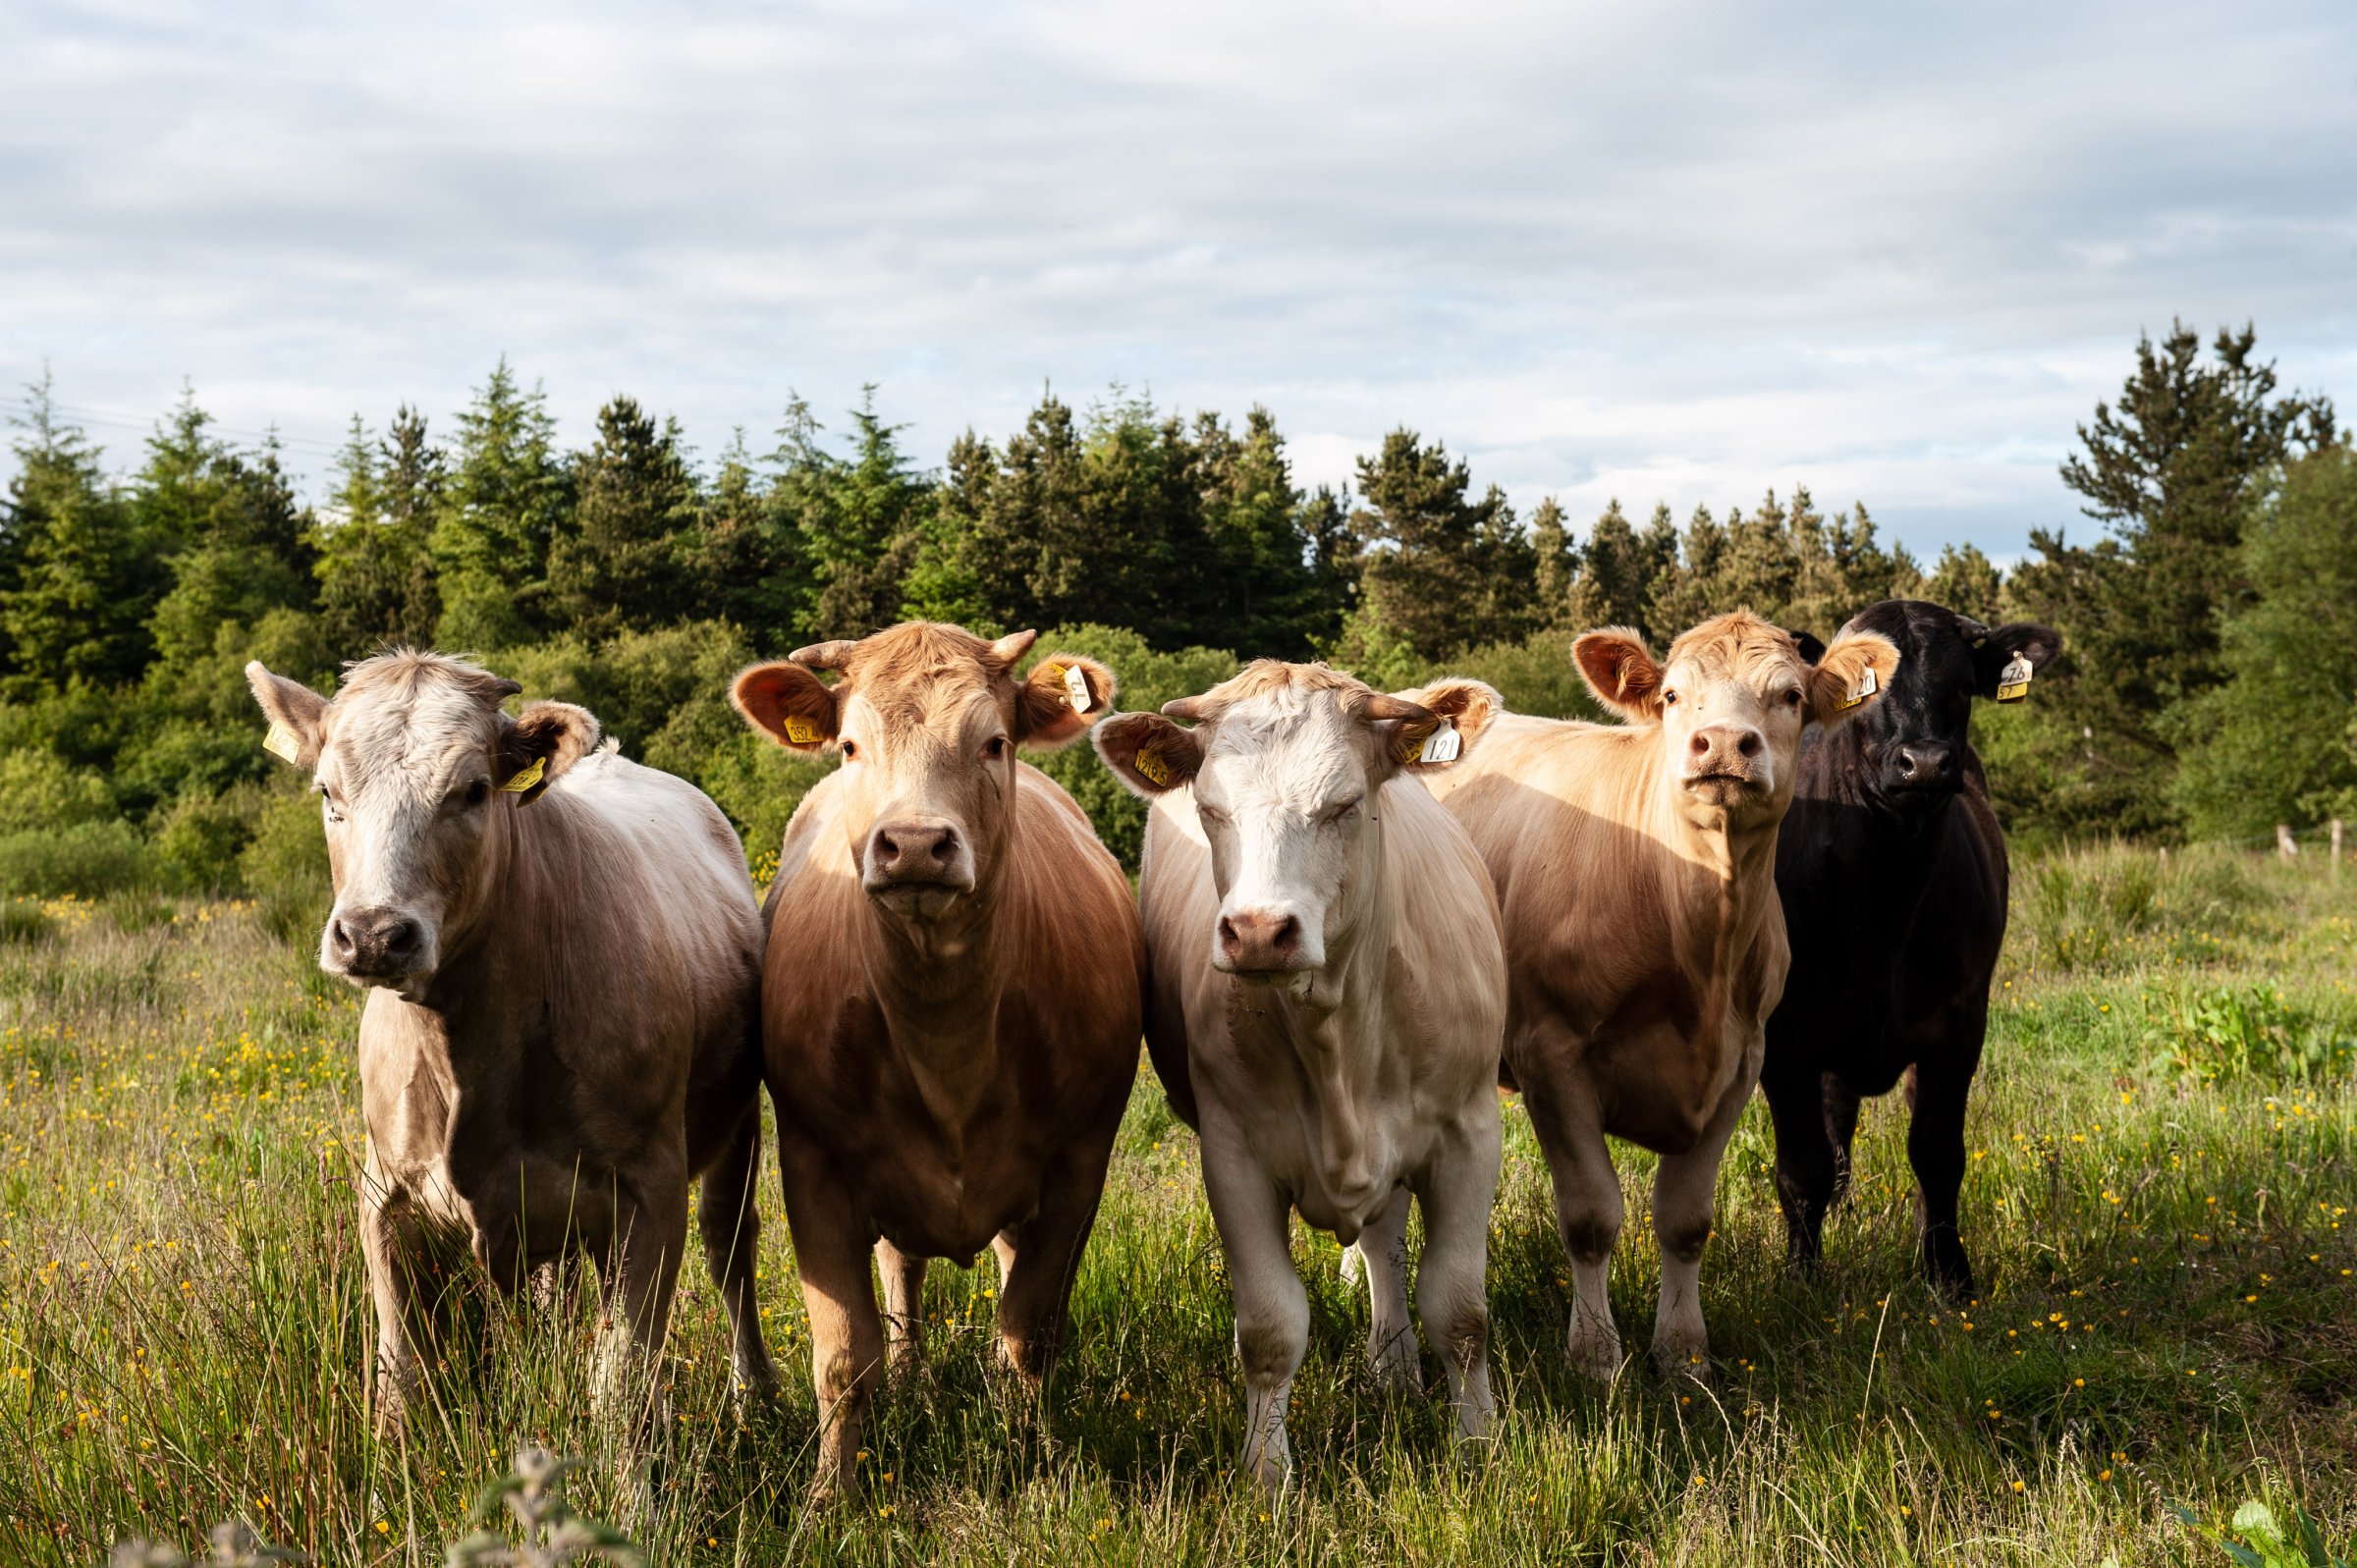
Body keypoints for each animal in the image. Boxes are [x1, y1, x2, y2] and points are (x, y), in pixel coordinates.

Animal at [243, 651, 776, 1429]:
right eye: (327, 792)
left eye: (471, 790)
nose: (372, 934)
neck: (470, 1051)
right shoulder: (384, 1189)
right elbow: (401, 1372)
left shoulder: (651, 1186)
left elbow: (621, 1381)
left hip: (735, 1129)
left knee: (730, 1245)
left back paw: (755, 1392)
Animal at [730, 623, 1142, 1499]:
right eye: (850, 745)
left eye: (993, 742)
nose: (915, 843)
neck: (947, 1036)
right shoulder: (813, 1165)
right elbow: (844, 1354)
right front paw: (832, 1493)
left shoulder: (1079, 1164)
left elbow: (1028, 1328)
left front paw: (1030, 1455)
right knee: (902, 1271)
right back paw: (912, 1372)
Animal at [1093, 662, 1509, 1491]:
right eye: (1210, 808)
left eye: (1345, 804)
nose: (1258, 930)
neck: (1338, 1034)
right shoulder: (1232, 1155)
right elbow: (1269, 1324)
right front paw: (1265, 1472)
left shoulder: (1470, 1134)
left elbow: (1459, 1308)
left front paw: (1477, 1445)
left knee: (1385, 1244)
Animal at [1419, 611, 1899, 1382]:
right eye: (1673, 695)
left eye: (1791, 696)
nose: (1725, 743)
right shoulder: (1551, 1057)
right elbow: (1591, 1216)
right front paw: (1593, 1354)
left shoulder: (1742, 1061)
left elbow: (1685, 1219)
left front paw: (1682, 1351)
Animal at [1764, 600, 2060, 1301]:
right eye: (1864, 686)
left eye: (1963, 687)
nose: (1923, 762)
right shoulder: (1782, 1036)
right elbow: (1801, 1166)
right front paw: (1801, 1278)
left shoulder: (1959, 1023)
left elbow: (1937, 1153)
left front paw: (1949, 1274)